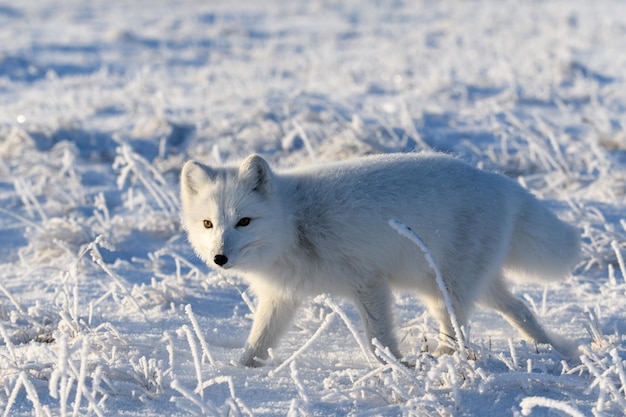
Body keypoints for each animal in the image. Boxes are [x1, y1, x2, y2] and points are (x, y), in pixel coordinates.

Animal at [180, 152, 580, 364]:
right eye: (208, 223)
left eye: (244, 221)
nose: (219, 258)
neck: (295, 224)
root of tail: (499, 181)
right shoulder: (281, 297)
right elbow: (258, 342)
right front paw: (240, 374)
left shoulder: (369, 282)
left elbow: (380, 336)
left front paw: (394, 368)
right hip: (470, 287)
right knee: (520, 308)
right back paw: (551, 348)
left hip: (445, 292)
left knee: (457, 330)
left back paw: (444, 362)